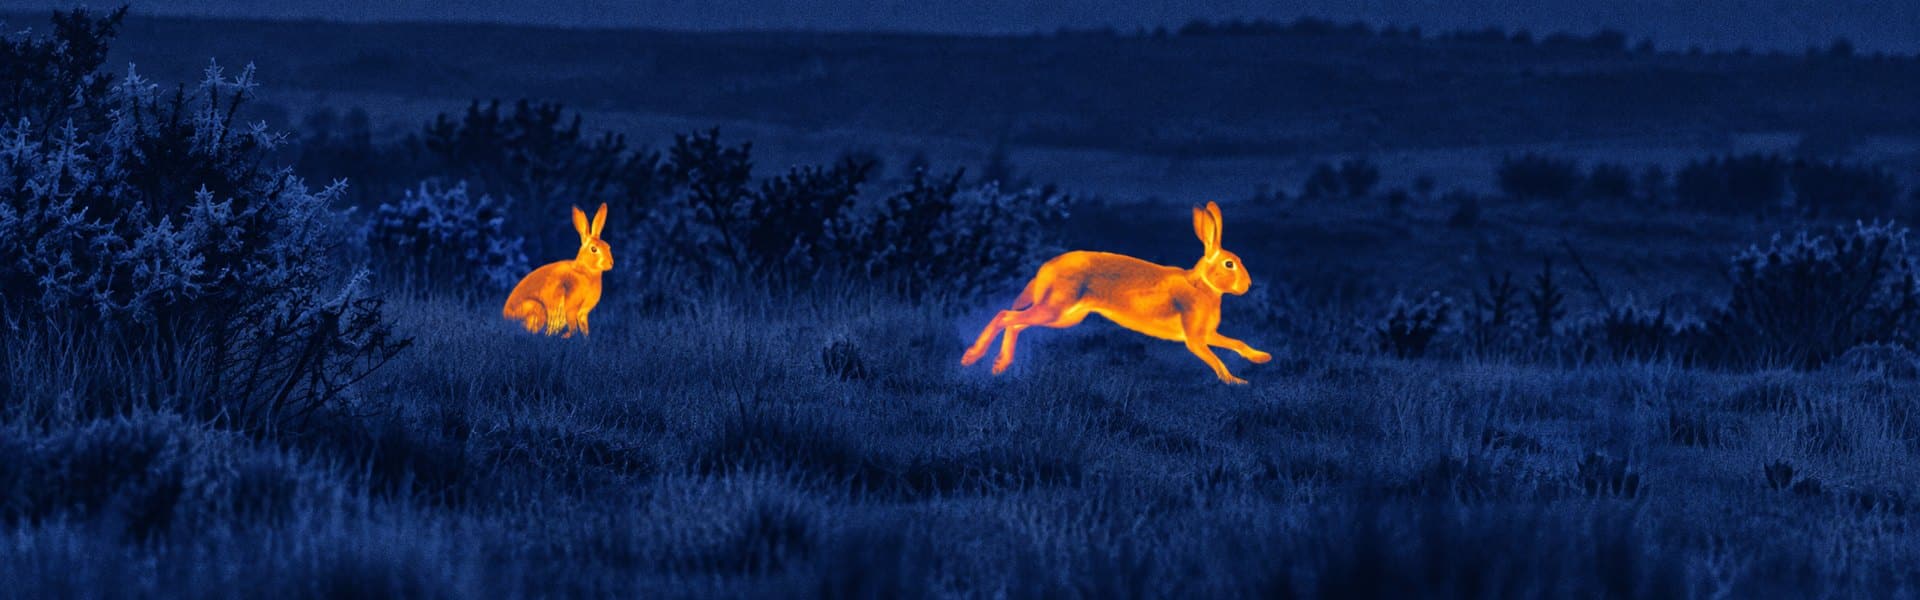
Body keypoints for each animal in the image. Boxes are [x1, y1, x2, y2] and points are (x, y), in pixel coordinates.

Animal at [502, 203, 612, 338]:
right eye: (594, 249)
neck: (584, 270)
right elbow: (573, 325)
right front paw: (568, 337)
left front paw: (586, 338)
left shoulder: (583, 313)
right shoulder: (570, 307)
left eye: (608, 246)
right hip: (536, 308)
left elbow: (584, 327)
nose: (611, 263)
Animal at [961, 201, 1270, 384]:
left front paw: (1261, 358)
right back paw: (972, 358)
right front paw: (1235, 381)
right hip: (1056, 307)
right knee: (1004, 316)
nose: (1247, 285)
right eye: (1229, 264)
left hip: (1064, 316)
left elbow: (1236, 343)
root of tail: (1045, 270)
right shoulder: (1194, 338)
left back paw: (1000, 366)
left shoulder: (1207, 334)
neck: (1202, 284)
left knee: (1015, 323)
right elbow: (1214, 358)